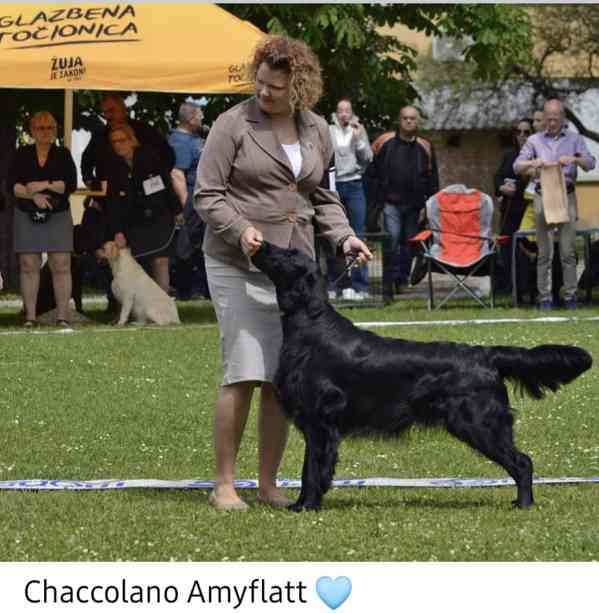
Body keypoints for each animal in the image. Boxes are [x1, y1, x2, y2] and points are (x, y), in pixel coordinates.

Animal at [251, 241, 592, 510]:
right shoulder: (314, 423)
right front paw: (299, 504)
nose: (260, 243)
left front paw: (307, 506)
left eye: (288, 253)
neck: (310, 325)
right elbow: (310, 469)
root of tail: (485, 354)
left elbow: (313, 470)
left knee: (523, 462)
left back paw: (523, 504)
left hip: (480, 424)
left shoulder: (321, 421)